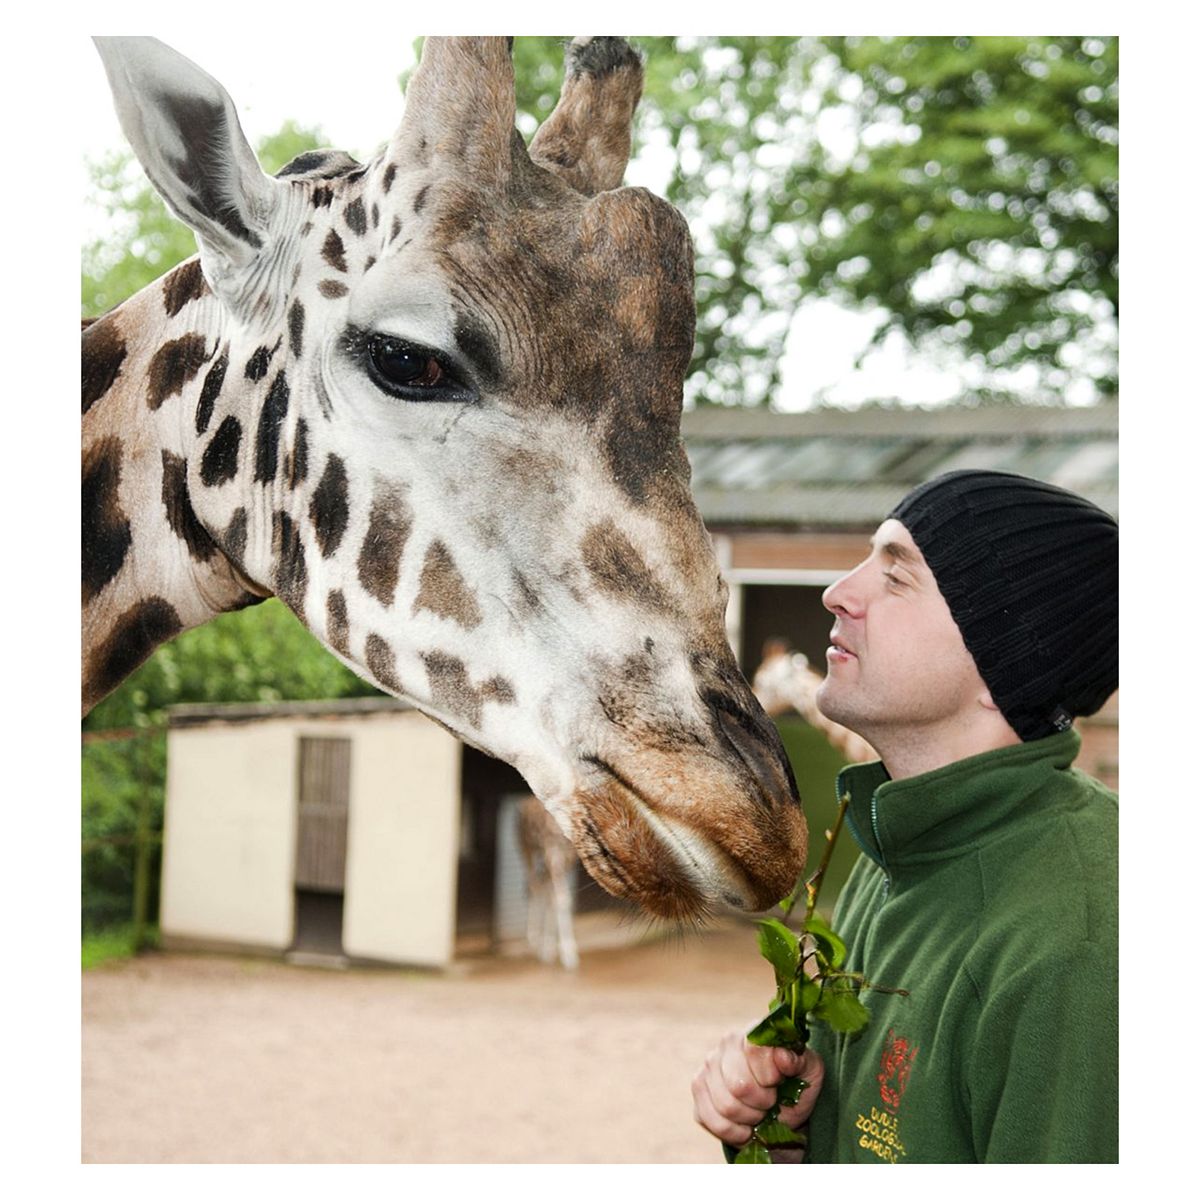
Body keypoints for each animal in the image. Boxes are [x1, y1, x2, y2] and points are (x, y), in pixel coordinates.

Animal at [513, 792, 578, 969]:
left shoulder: (568, 857)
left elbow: (560, 899)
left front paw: (553, 951)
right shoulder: (553, 851)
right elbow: (561, 899)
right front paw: (568, 956)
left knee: (542, 885)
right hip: (525, 848)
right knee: (533, 884)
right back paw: (532, 939)